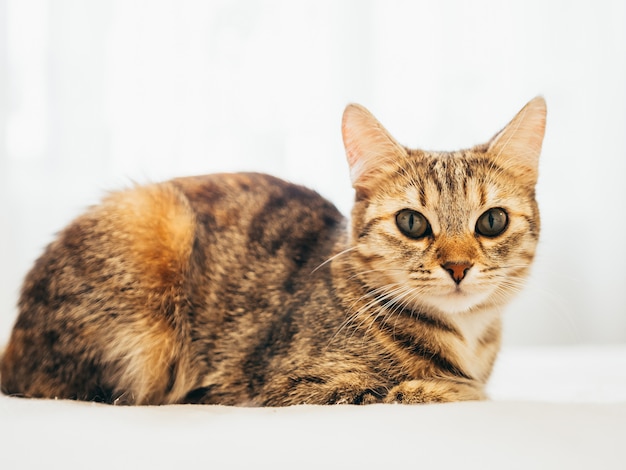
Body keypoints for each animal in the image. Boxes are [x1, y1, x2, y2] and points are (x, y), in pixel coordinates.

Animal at [0, 97, 544, 406]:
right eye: (412, 222)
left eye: (491, 221)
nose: (458, 266)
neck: (468, 337)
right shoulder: (288, 387)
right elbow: (433, 390)